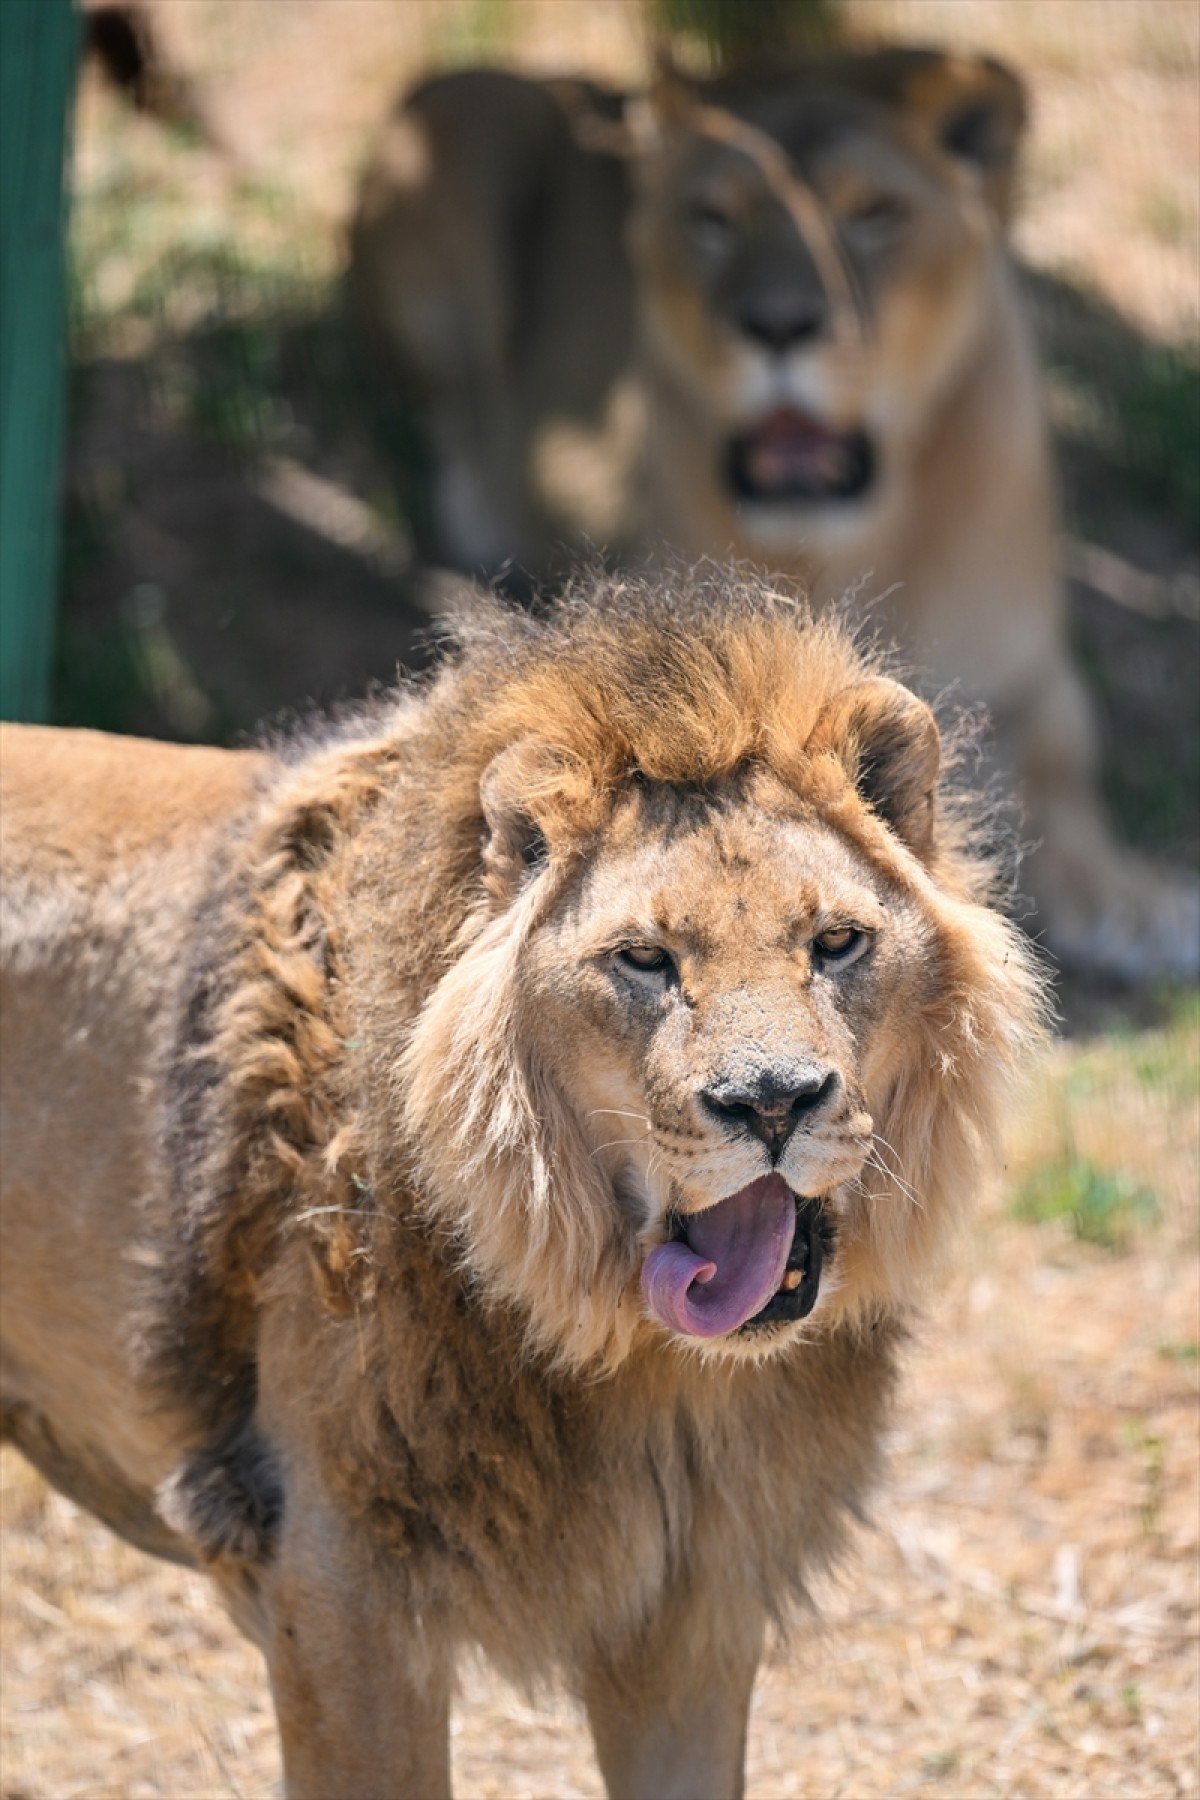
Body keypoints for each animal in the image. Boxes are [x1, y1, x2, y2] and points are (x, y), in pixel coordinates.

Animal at [2, 572, 1043, 1785]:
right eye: (644, 960)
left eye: (835, 943)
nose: (775, 1101)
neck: (649, 1371)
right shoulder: (333, 1577)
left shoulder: (694, 1611)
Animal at [349, 49, 1200, 986]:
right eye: (713, 218)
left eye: (875, 213)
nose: (780, 325)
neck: (849, 545)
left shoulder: (1029, 666)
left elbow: (1065, 758)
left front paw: (1127, 900)